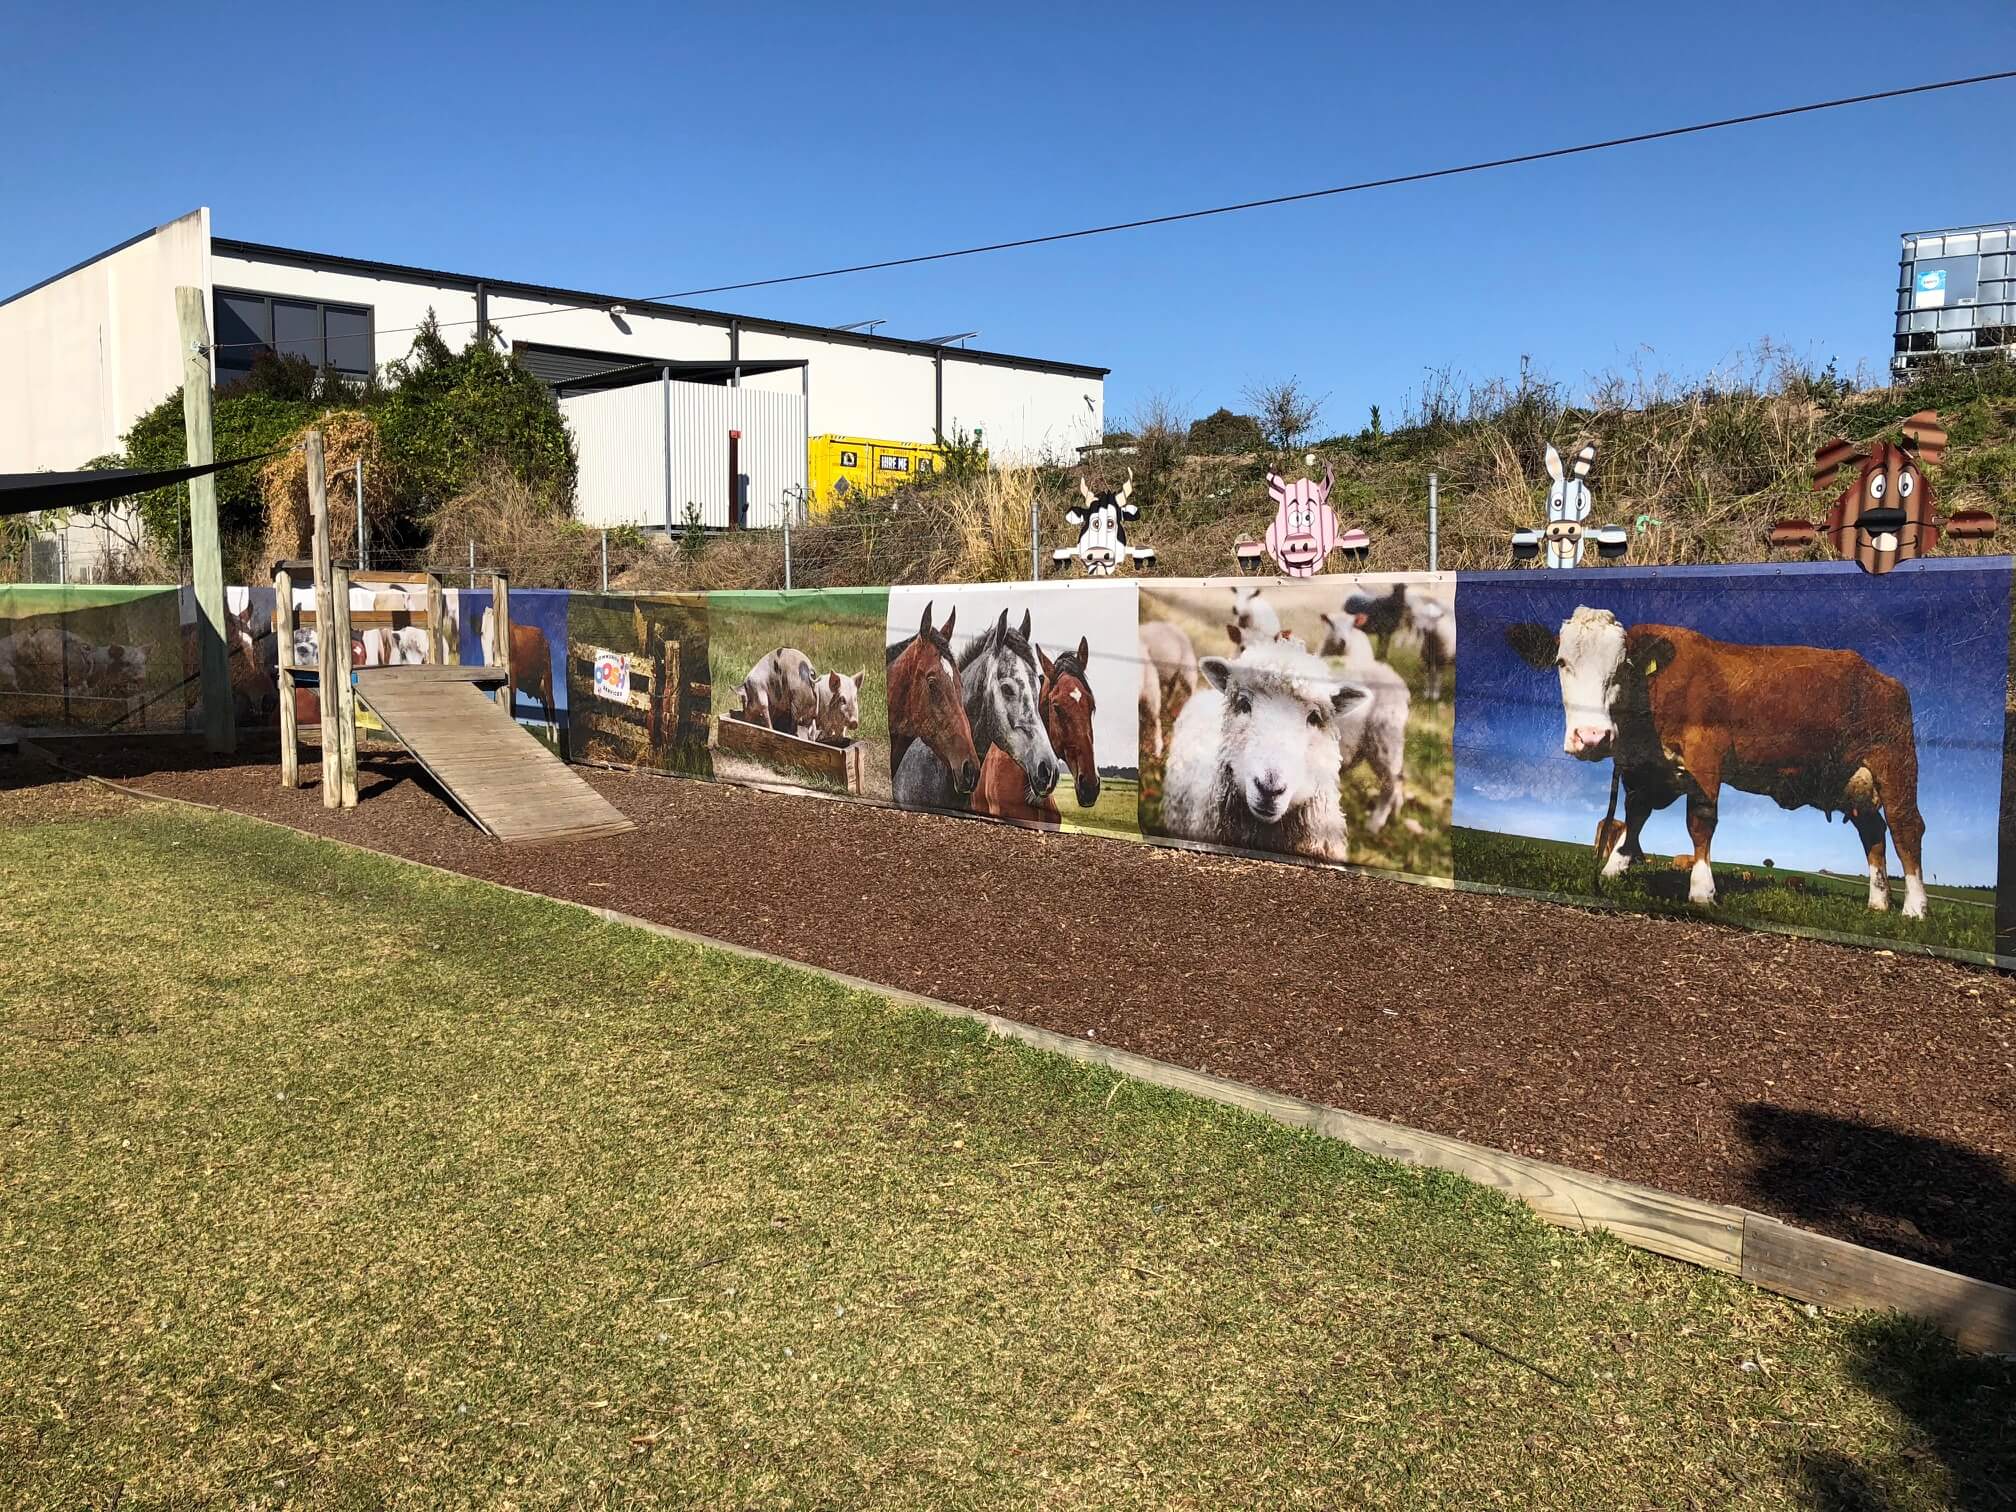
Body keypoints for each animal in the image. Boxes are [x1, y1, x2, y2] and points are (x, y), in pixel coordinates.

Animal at [1516, 608, 1919, 919]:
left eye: (1621, 668)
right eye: (1561, 663)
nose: (1592, 737)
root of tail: (1883, 678)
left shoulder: (1706, 754)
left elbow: (1700, 821)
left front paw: (1702, 889)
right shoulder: (1648, 768)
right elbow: (1635, 813)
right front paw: (1616, 865)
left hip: (1896, 763)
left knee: (1906, 829)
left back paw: (1914, 908)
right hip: (1851, 781)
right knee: (1873, 833)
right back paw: (1879, 902)